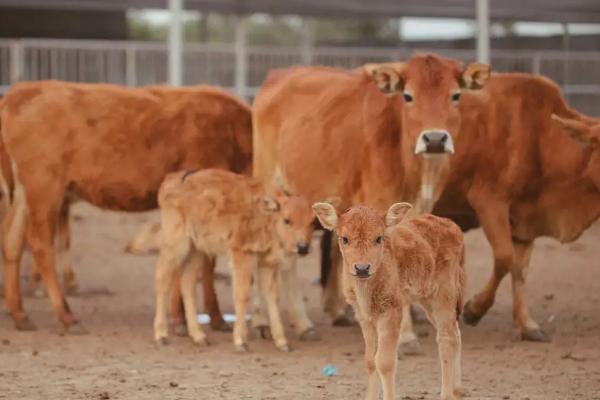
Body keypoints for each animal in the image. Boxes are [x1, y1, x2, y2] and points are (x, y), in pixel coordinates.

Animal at [0, 79, 253, 332]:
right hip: (45, 188)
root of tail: (22, 91)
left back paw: (20, 314)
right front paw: (202, 318)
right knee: (40, 244)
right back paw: (65, 315)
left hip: (24, 193)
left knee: (12, 242)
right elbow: (205, 262)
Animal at [154, 170, 314, 352]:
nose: (302, 247)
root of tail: (171, 181)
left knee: (187, 284)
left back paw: (199, 336)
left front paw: (282, 342)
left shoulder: (267, 263)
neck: (266, 213)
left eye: (312, 221)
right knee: (162, 279)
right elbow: (242, 294)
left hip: (197, 251)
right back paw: (161, 336)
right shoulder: (241, 254)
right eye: (287, 220)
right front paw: (240, 341)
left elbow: (272, 297)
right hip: (176, 245)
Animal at [251, 54, 490, 354]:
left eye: (455, 95)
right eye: (408, 96)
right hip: (269, 190)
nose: (434, 139)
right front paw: (406, 336)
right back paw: (265, 322)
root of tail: (277, 76)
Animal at [314, 203, 468, 400]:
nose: (362, 268)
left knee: (446, 338)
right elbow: (370, 359)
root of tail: (453, 227)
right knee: (455, 333)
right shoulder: (364, 317)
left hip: (444, 296)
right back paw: (458, 390)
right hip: (429, 301)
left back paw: (447, 394)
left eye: (379, 238)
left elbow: (385, 361)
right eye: (344, 239)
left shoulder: (391, 311)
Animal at [432, 72, 600, 340]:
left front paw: (526, 324)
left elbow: (520, 270)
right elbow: (504, 258)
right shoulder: (489, 200)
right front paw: (474, 309)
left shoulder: (525, 217)